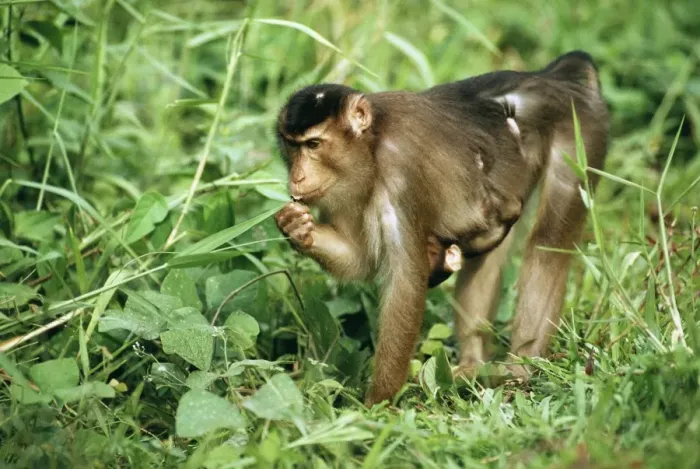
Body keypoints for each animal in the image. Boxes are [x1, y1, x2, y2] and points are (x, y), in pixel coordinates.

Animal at [275, 51, 609, 406]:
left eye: (313, 144)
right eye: (291, 146)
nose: (297, 176)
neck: (372, 145)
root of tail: (552, 77)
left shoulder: (401, 171)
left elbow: (406, 282)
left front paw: (376, 406)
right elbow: (360, 259)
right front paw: (296, 228)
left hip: (580, 128)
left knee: (547, 247)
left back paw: (521, 368)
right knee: (491, 254)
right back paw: (474, 364)